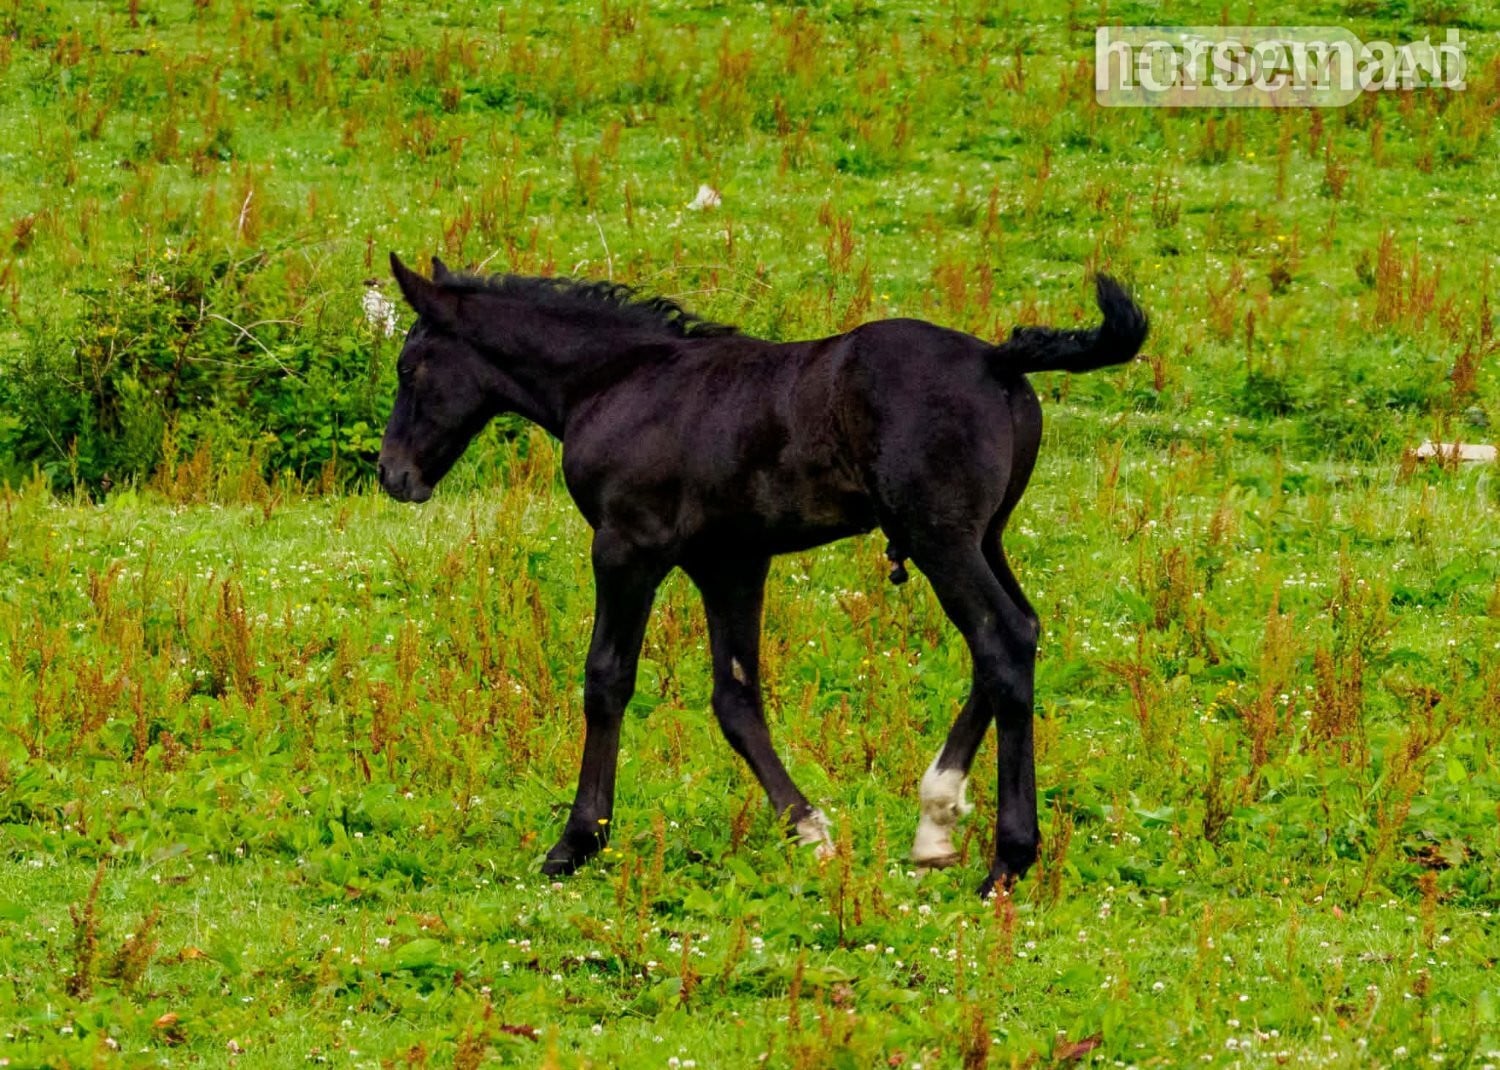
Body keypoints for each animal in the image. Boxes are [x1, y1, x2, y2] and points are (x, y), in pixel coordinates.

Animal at [378, 253, 1147, 898]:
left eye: (411, 368)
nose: (393, 475)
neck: (617, 382)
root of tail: (995, 357)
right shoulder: (731, 562)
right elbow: (736, 700)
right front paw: (809, 830)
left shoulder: (627, 546)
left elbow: (606, 681)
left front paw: (576, 842)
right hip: (985, 536)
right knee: (1020, 635)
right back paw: (936, 819)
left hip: (943, 540)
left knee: (1002, 641)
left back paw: (1006, 860)